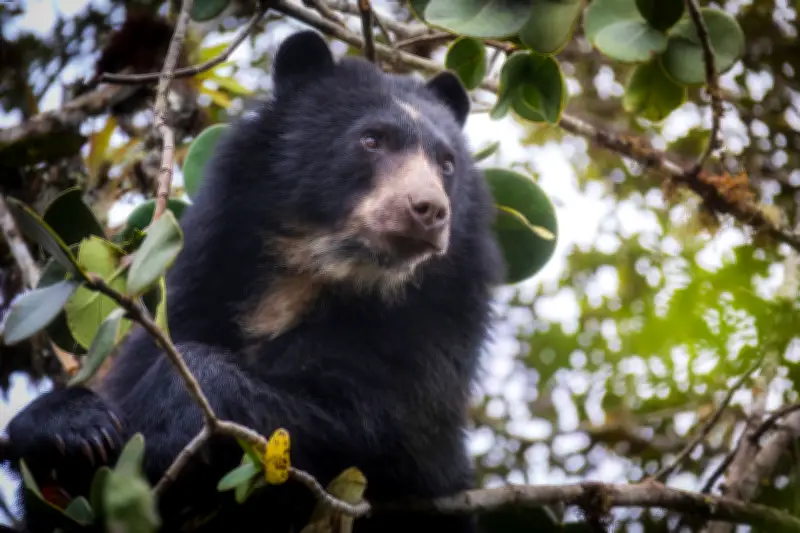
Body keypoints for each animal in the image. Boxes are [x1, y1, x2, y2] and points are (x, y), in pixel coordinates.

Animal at [5, 30, 504, 533]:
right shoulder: (201, 285)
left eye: (446, 163)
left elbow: (381, 428)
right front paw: (75, 428)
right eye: (371, 140)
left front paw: (166, 420)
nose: (429, 210)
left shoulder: (430, 338)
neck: (317, 272)